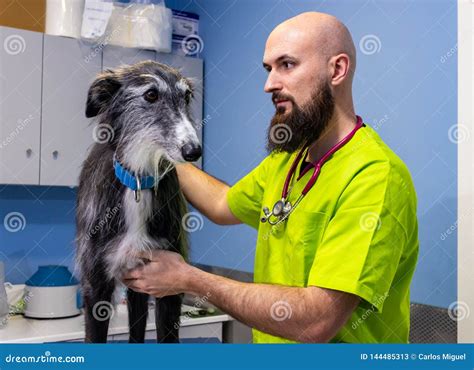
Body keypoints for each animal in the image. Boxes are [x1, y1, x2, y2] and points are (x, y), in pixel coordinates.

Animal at [75, 60, 201, 344]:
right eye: (151, 95)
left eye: (187, 96)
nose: (194, 151)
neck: (138, 183)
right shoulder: (96, 284)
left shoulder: (168, 281)